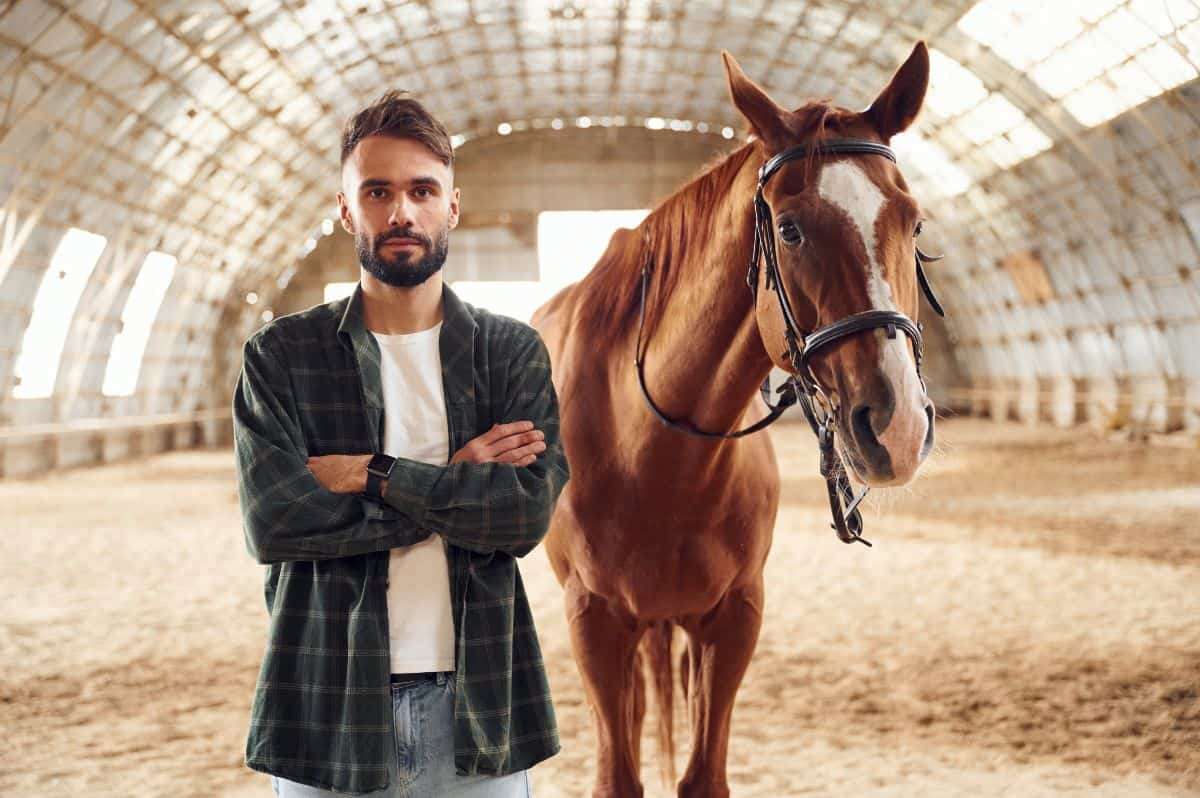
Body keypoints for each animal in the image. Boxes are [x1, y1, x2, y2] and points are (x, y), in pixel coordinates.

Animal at [532, 43, 936, 796]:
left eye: (914, 223)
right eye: (789, 227)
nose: (898, 427)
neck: (654, 454)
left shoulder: (735, 619)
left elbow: (704, 776)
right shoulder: (594, 623)